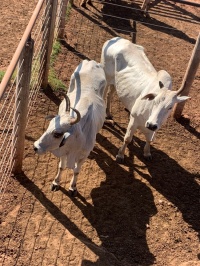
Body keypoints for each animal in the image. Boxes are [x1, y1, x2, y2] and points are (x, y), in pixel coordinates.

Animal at [33, 59, 107, 195]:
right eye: (49, 125)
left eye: (57, 134)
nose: (35, 147)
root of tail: (92, 62)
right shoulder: (63, 152)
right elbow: (61, 167)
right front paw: (56, 182)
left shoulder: (83, 156)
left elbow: (76, 171)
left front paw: (73, 187)